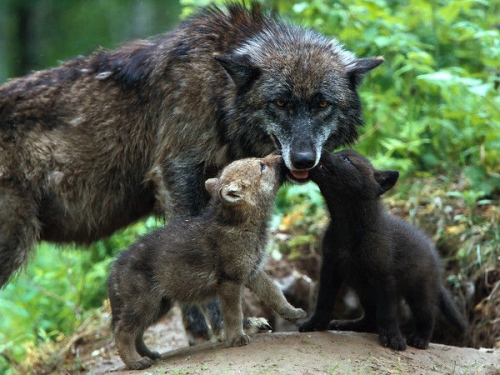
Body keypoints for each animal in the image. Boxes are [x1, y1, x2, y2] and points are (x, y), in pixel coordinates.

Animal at [0, 3, 382, 340]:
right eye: (280, 103)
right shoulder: (177, 174)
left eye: (322, 103)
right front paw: (227, 325)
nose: (303, 159)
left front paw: (198, 330)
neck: (217, 89)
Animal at [107, 155, 306, 370]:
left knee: (136, 333)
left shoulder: (253, 272)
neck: (242, 226)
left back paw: (149, 355)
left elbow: (275, 294)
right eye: (262, 166)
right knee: (122, 332)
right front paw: (237, 338)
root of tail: (114, 268)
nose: (282, 157)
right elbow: (233, 313)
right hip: (145, 304)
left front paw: (293, 312)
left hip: (159, 305)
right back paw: (136, 362)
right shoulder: (230, 281)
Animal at [300, 151, 468, 352]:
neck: (348, 227)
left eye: (346, 159)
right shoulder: (330, 267)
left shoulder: (384, 277)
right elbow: (324, 301)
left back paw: (420, 339)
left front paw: (392, 338)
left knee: (427, 317)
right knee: (370, 319)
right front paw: (315, 324)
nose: (321, 151)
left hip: (420, 291)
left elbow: (387, 313)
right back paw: (347, 324)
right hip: (365, 290)